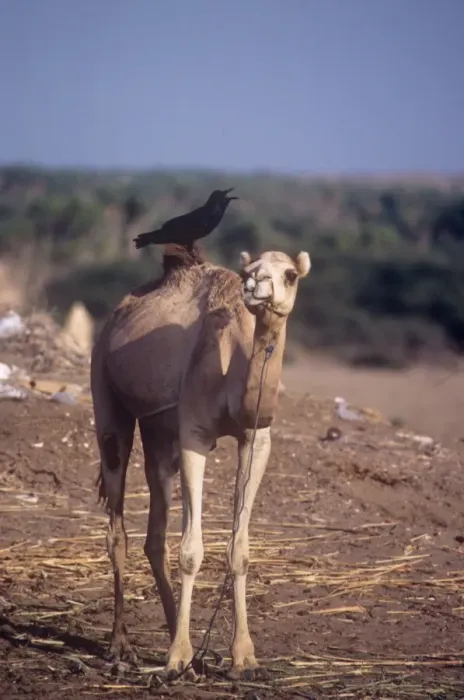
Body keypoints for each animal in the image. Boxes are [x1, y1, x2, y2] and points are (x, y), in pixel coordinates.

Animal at [90, 243, 311, 680]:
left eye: (291, 274)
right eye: (251, 269)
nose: (256, 286)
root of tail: (116, 315)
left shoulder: (257, 437)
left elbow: (239, 549)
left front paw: (244, 657)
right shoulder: (194, 431)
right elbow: (191, 550)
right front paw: (177, 657)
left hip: (159, 430)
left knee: (155, 532)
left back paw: (184, 642)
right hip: (104, 390)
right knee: (117, 525)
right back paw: (122, 646)